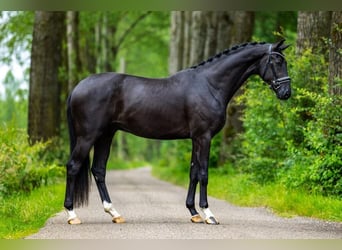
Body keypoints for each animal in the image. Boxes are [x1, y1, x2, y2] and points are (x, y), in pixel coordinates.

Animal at [62, 39, 290, 225]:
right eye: (277, 61)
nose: (286, 93)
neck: (209, 85)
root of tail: (78, 87)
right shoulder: (204, 137)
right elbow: (204, 173)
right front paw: (209, 214)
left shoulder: (196, 139)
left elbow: (193, 173)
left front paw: (194, 212)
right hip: (88, 136)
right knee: (73, 166)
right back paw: (72, 215)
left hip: (106, 135)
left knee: (99, 170)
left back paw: (114, 213)